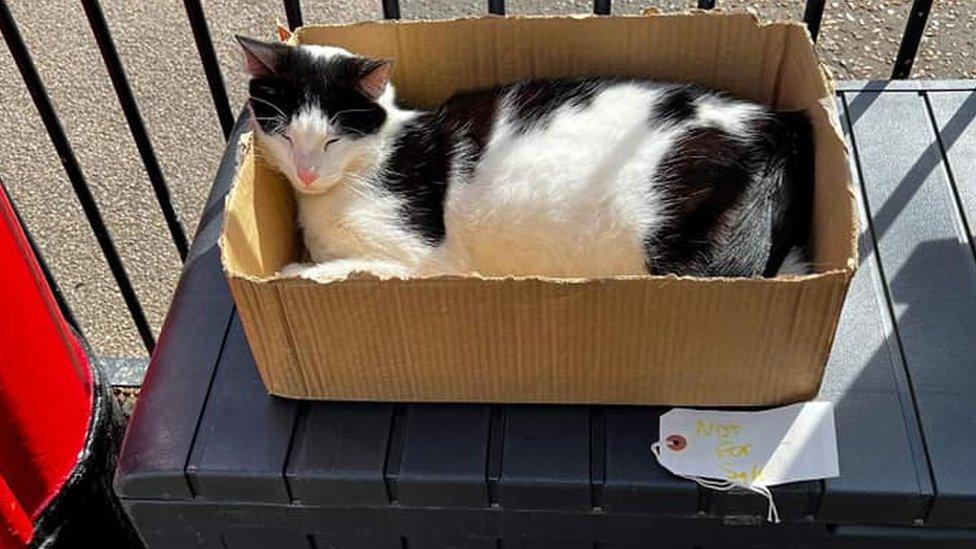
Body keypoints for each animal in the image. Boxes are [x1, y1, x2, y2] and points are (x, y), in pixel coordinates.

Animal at [238, 34, 816, 280]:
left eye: (333, 139)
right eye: (283, 133)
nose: (306, 171)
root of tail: (776, 126)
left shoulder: (426, 261)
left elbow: (343, 269)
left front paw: (293, 271)